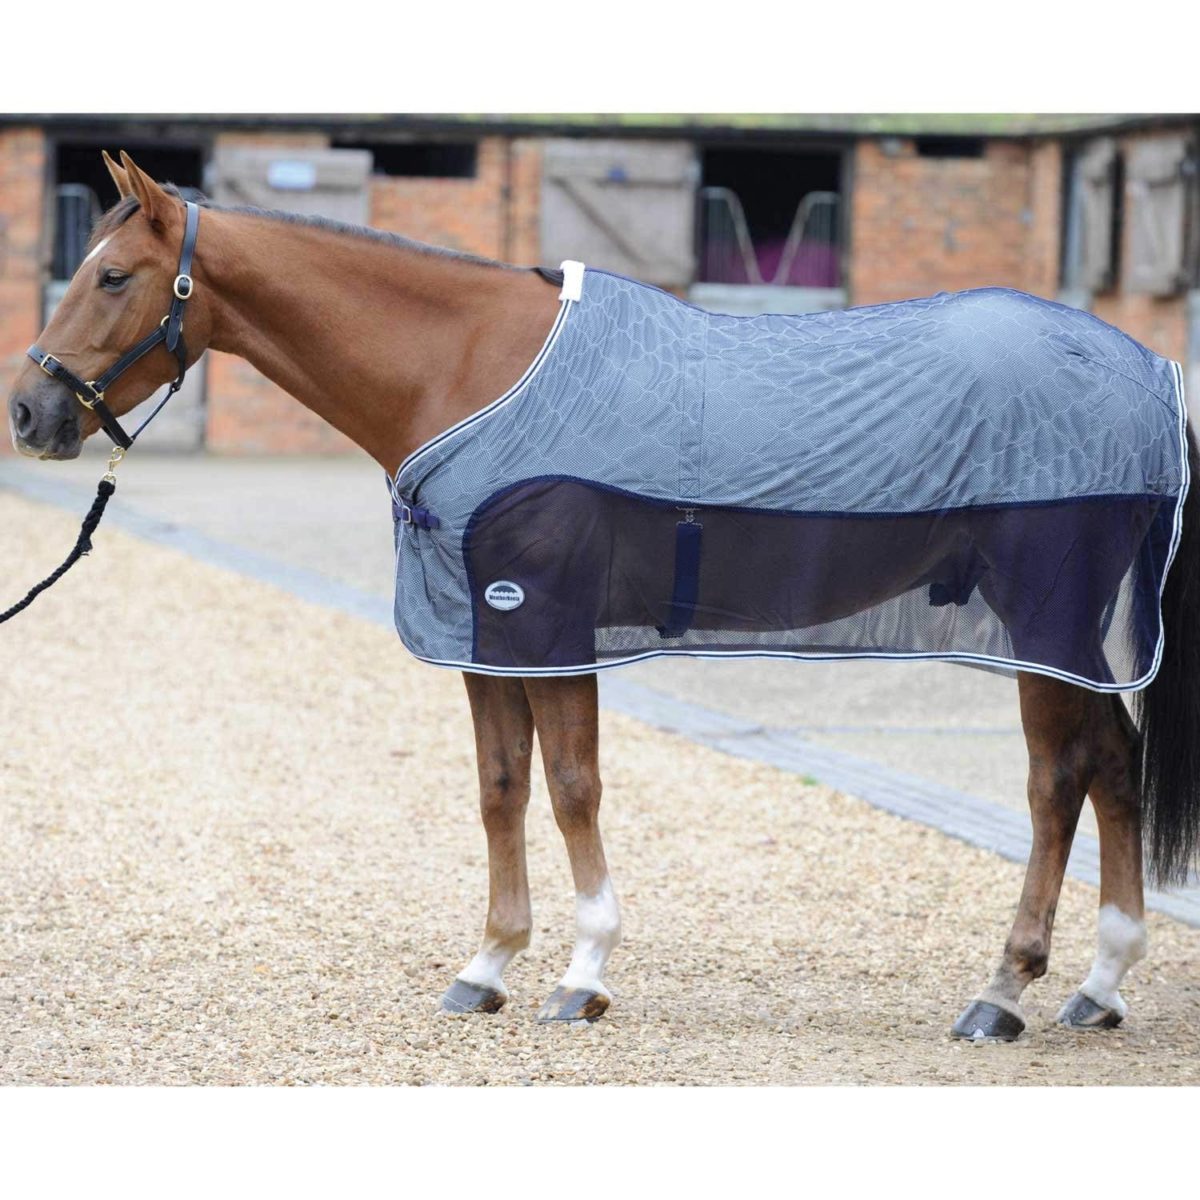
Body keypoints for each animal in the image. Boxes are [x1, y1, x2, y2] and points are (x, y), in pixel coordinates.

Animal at [7, 151, 1199, 1037]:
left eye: (111, 276)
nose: (30, 412)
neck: (471, 369)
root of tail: (1141, 369)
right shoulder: (485, 631)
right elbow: (501, 789)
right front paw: (488, 965)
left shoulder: (546, 620)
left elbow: (573, 785)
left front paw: (583, 971)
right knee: (1113, 766)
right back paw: (1099, 986)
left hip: (1043, 616)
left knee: (1056, 783)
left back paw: (1004, 990)